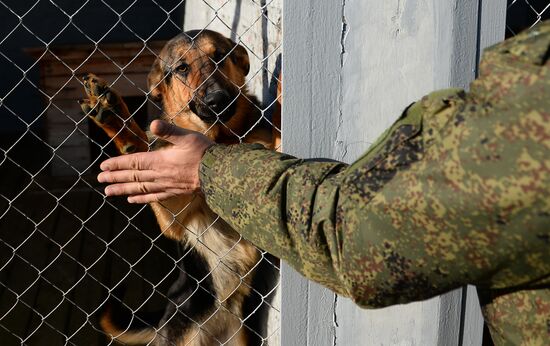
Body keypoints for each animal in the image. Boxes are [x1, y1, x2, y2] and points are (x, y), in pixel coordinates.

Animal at [78, 29, 280, 346]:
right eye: (182, 68)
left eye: (219, 56)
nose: (217, 100)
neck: (217, 138)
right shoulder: (175, 217)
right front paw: (119, 124)